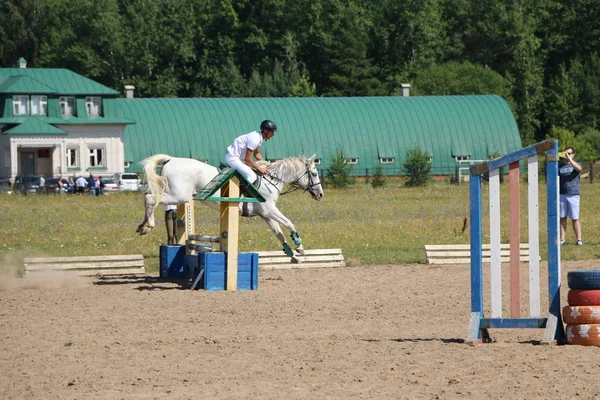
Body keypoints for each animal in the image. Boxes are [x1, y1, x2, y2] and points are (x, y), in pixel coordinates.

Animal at [136, 153, 324, 256]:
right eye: (314, 173)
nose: (320, 194)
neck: (271, 180)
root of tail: (171, 160)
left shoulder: (265, 214)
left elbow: (279, 233)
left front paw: (291, 253)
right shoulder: (270, 210)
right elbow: (289, 223)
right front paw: (299, 246)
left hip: (178, 196)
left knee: (148, 197)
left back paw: (142, 225)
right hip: (178, 195)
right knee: (151, 198)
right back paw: (147, 226)